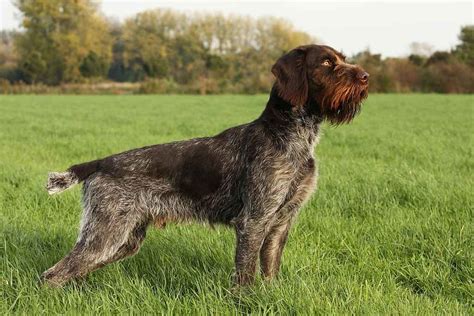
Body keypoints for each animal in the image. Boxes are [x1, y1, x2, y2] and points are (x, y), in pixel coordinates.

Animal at [42, 44, 368, 286]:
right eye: (326, 63)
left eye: (342, 59)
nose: (365, 76)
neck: (290, 135)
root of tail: (101, 162)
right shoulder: (254, 221)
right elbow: (245, 276)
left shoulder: (280, 223)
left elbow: (270, 270)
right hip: (106, 232)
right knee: (53, 274)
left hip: (125, 239)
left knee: (73, 270)